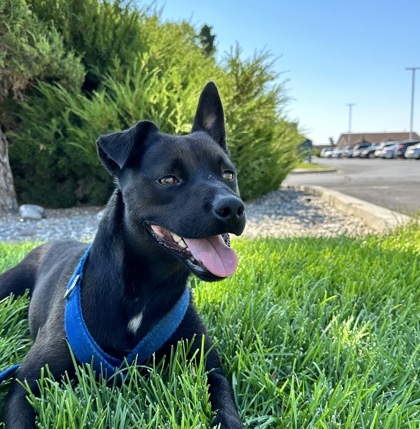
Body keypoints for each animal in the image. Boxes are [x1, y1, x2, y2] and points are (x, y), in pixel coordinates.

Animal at [0, 82, 244, 426]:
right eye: (168, 179)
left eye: (228, 174)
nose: (232, 208)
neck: (143, 287)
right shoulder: (25, 383)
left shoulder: (211, 371)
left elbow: (227, 411)